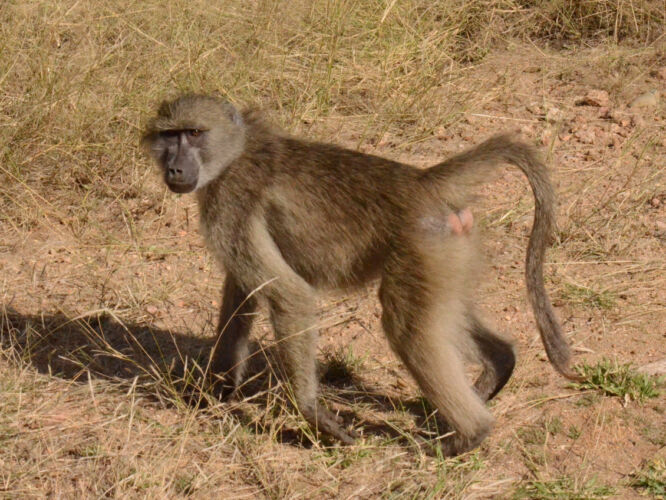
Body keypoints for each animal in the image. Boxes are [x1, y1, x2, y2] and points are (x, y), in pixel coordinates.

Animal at [142, 94, 581, 455]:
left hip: (421, 245)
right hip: (448, 248)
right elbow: (243, 293)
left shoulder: (230, 204)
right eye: (169, 135)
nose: (175, 169)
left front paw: (313, 414)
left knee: (406, 328)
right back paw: (496, 370)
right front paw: (215, 388)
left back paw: (467, 437)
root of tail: (423, 182)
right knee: (443, 315)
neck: (235, 152)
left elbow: (289, 294)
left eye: (194, 133)